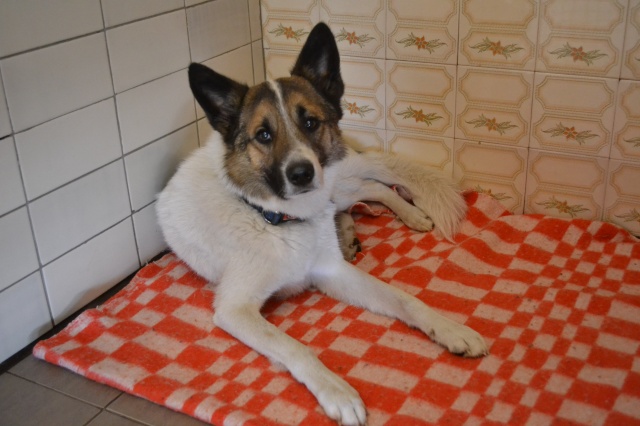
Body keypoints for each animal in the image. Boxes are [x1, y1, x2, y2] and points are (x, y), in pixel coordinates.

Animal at [157, 22, 488, 426]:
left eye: (310, 122)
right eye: (263, 134)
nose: (301, 174)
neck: (277, 219)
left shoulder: (332, 271)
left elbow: (405, 299)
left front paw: (450, 328)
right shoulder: (235, 308)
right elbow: (295, 347)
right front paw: (337, 391)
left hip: (338, 182)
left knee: (376, 183)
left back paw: (409, 215)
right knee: (368, 189)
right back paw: (348, 232)